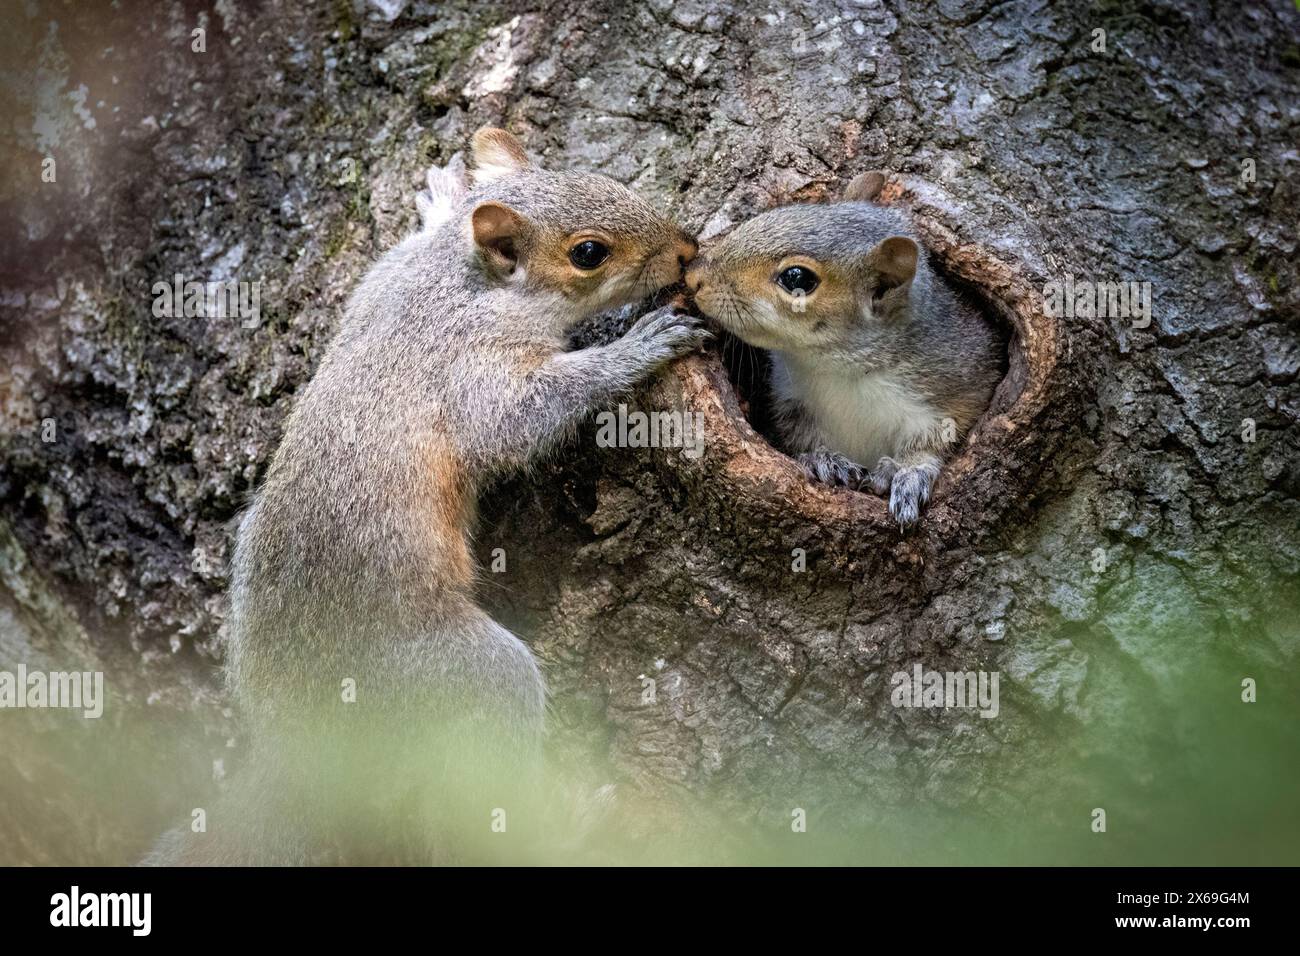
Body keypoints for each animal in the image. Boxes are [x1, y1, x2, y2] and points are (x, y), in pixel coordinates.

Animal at [173, 128, 703, 864]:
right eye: (589, 253)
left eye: (611, 182)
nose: (687, 251)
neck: (457, 281)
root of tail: (298, 750)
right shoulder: (471, 365)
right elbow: (518, 420)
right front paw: (635, 348)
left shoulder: (382, 279)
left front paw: (447, 193)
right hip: (465, 677)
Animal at [684, 173, 1001, 528]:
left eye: (797, 277)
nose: (694, 277)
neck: (840, 368)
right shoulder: (791, 399)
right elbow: (800, 436)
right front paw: (823, 460)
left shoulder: (959, 381)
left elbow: (935, 441)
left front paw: (906, 471)